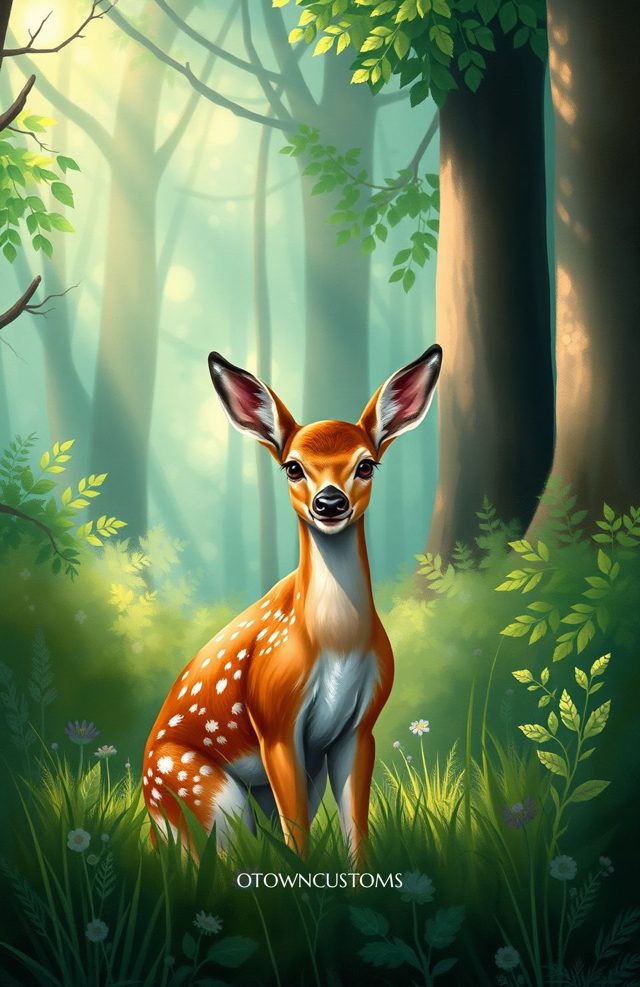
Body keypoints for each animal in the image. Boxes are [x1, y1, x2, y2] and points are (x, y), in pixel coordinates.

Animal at [143, 344, 442, 862]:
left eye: (366, 464)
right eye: (293, 466)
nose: (330, 503)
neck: (336, 642)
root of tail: (146, 809)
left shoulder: (359, 727)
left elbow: (355, 826)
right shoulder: (274, 718)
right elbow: (297, 833)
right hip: (200, 788)